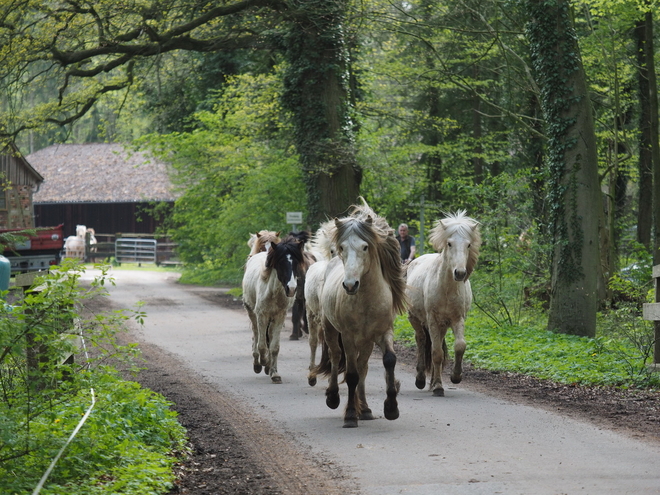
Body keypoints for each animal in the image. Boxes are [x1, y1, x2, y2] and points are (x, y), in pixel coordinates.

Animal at [241, 235, 306, 384]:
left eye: (295, 263)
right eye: (281, 262)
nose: (291, 289)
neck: (273, 292)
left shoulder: (279, 317)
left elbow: (274, 347)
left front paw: (274, 373)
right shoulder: (261, 315)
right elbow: (262, 345)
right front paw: (264, 362)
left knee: (268, 336)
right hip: (252, 313)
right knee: (256, 336)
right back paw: (258, 363)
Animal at [404, 211, 482, 398]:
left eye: (469, 244)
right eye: (449, 243)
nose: (460, 273)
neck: (446, 288)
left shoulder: (457, 319)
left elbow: (460, 346)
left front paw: (455, 377)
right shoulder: (432, 319)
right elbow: (437, 353)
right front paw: (439, 387)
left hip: (443, 325)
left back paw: (432, 381)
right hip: (416, 319)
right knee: (421, 340)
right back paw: (421, 379)